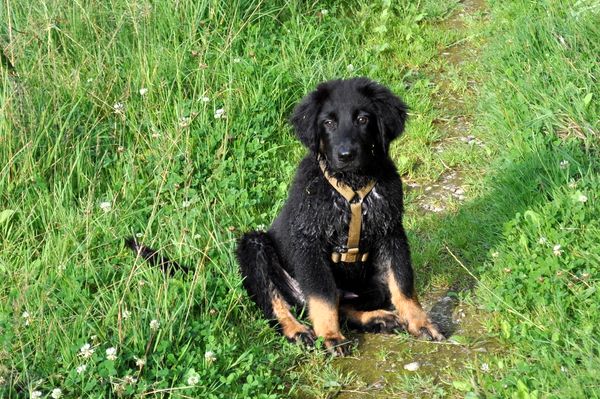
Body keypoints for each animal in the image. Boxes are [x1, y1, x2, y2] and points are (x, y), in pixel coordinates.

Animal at [237, 77, 442, 356]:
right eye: (328, 123)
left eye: (363, 119)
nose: (345, 155)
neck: (352, 187)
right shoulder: (310, 242)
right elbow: (322, 296)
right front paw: (330, 336)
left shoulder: (391, 232)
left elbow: (402, 283)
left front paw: (420, 323)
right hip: (253, 246)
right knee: (281, 304)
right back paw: (298, 330)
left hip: (371, 284)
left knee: (344, 305)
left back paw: (378, 318)